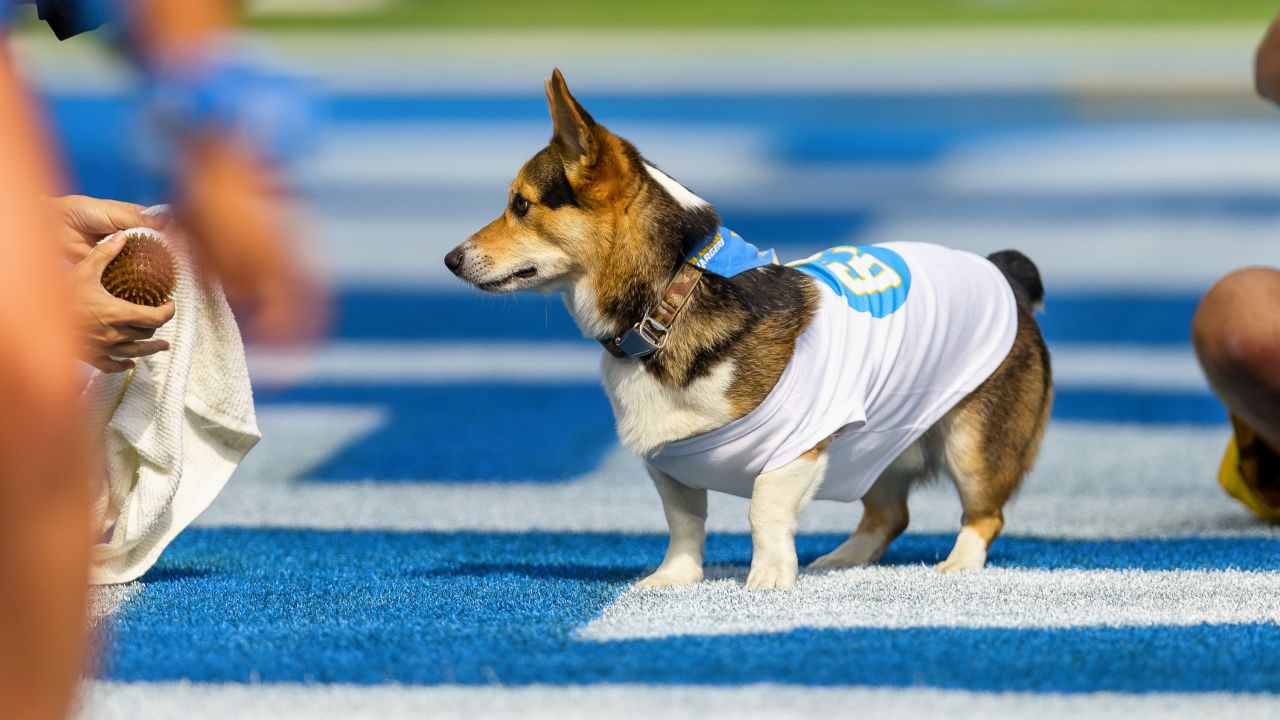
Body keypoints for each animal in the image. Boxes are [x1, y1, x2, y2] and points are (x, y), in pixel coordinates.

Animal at [448, 71, 1049, 589]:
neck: (667, 303)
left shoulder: (801, 446)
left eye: (520, 204)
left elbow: (764, 508)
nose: (450, 260)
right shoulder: (670, 466)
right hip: (876, 442)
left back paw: (958, 564)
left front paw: (768, 579)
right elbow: (684, 525)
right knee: (888, 514)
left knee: (984, 514)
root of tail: (1004, 274)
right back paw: (842, 559)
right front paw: (674, 579)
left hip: (973, 443)